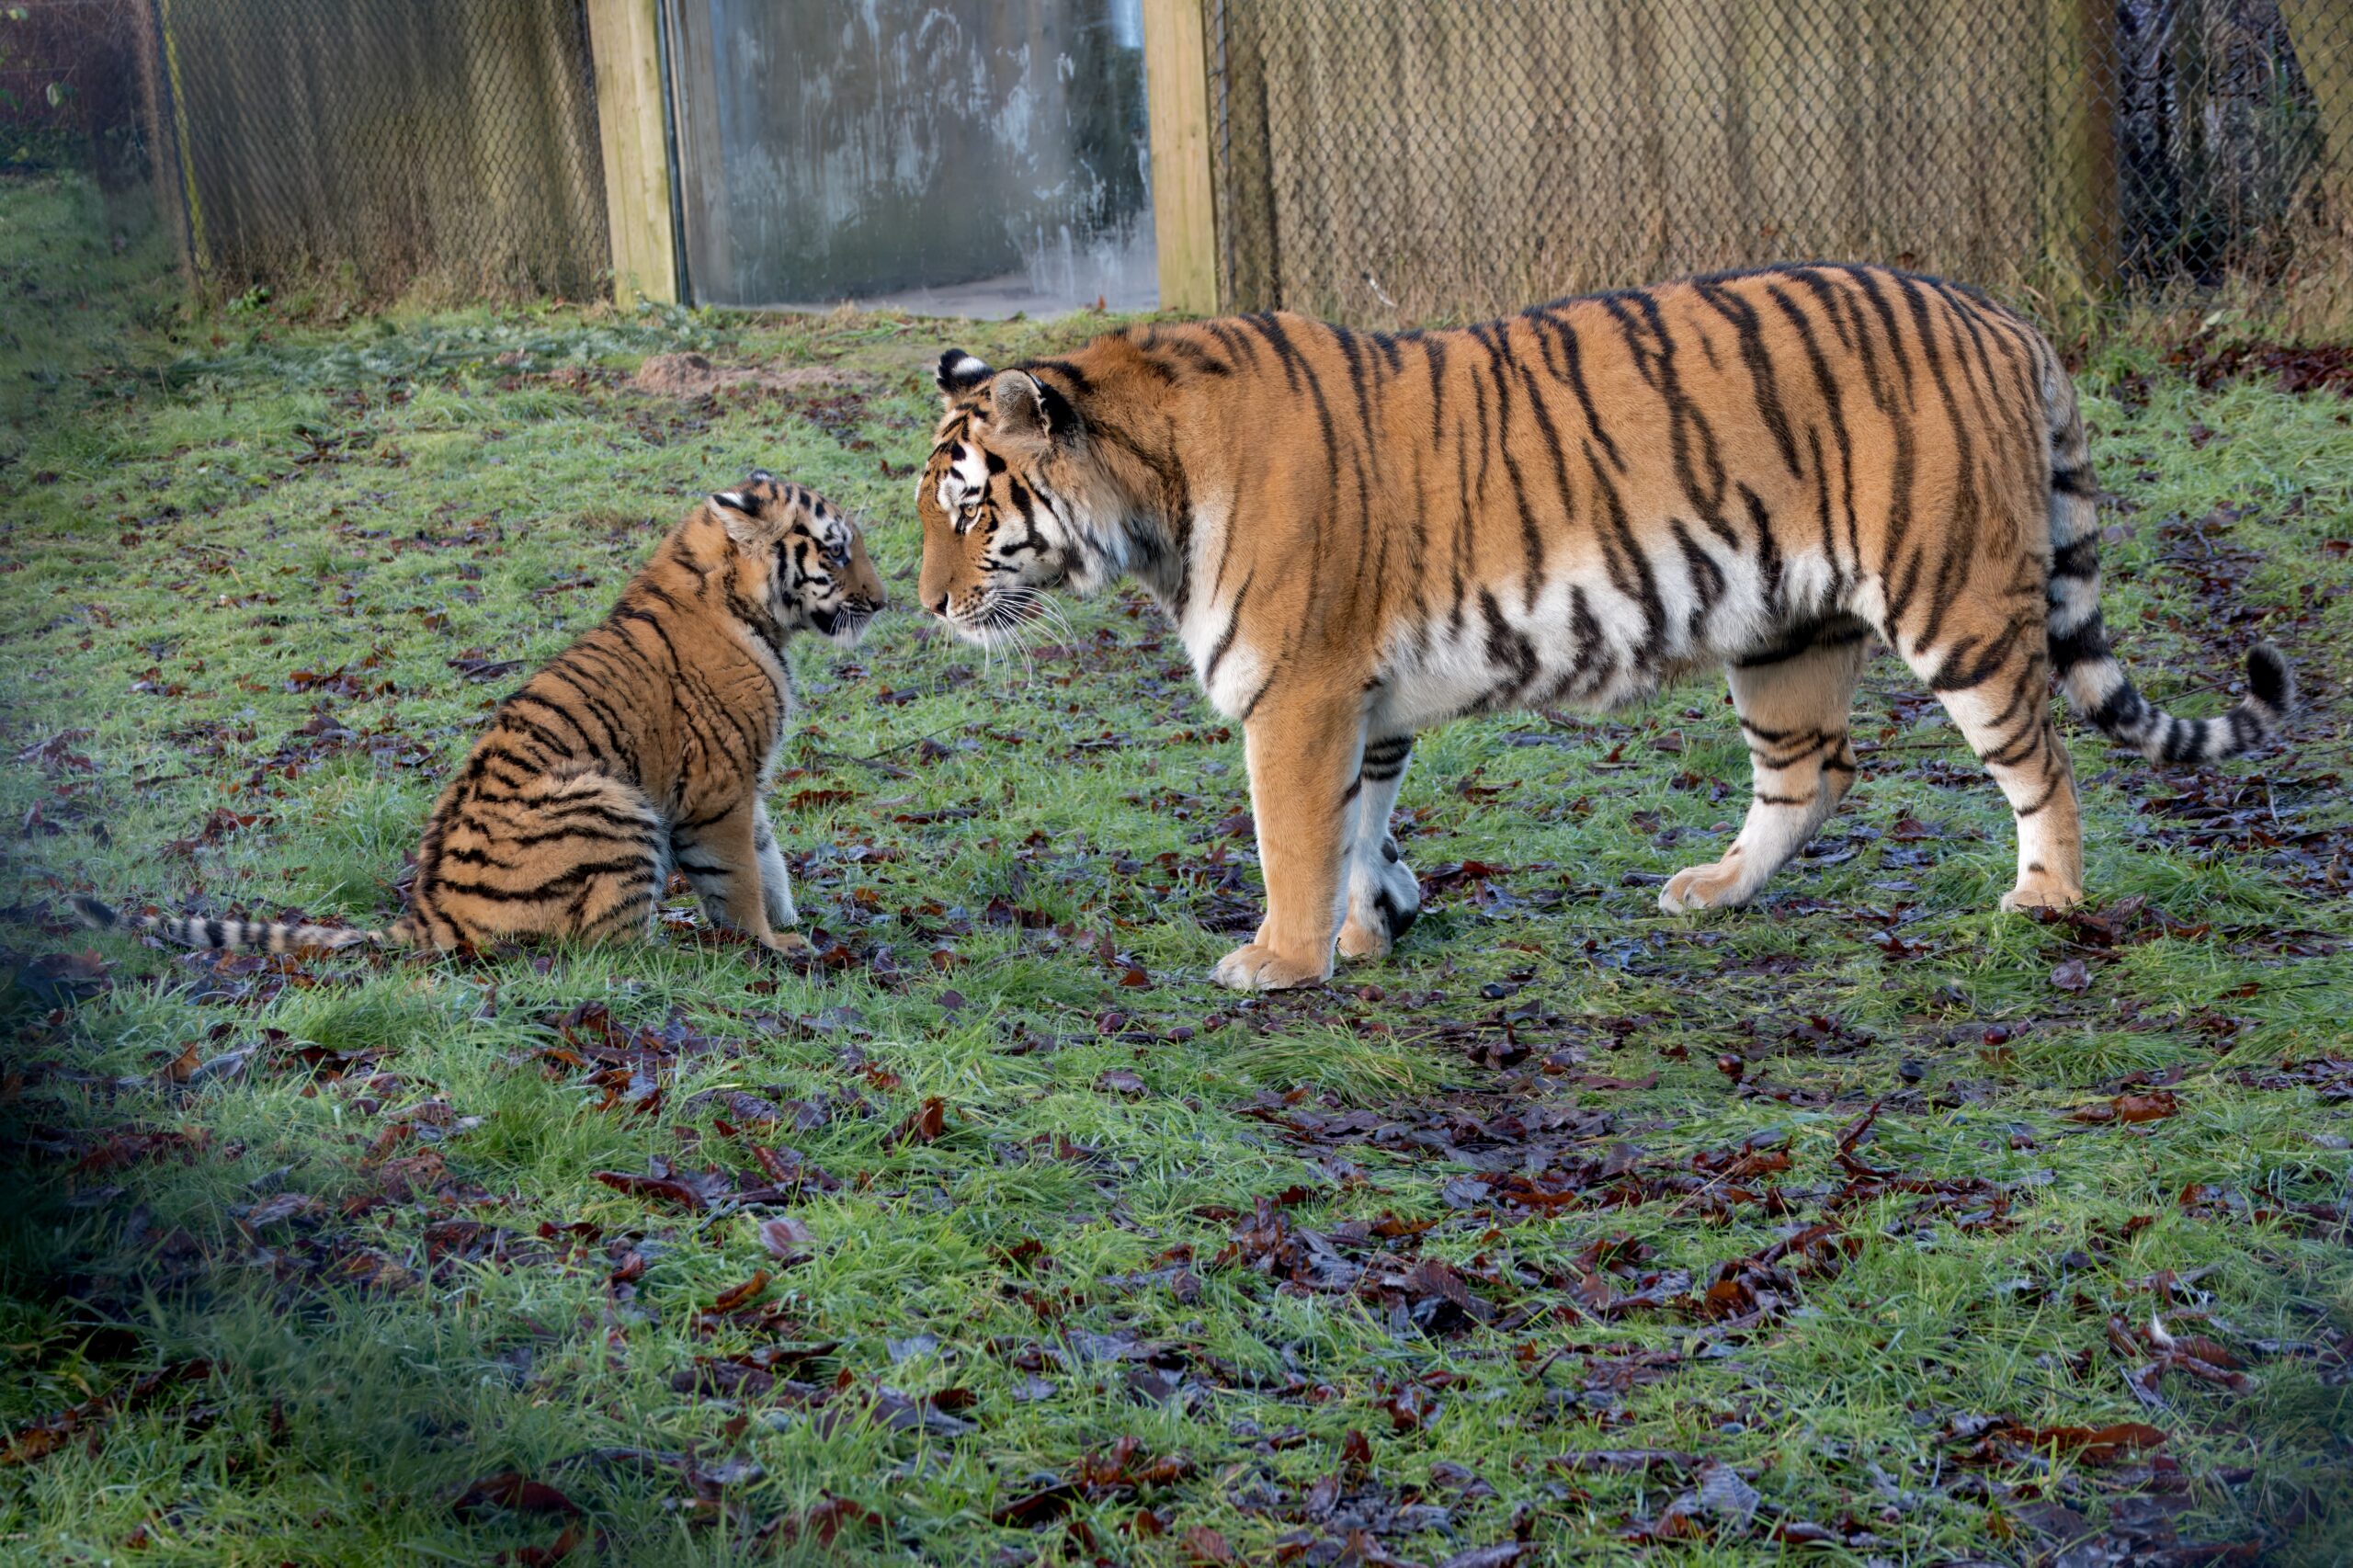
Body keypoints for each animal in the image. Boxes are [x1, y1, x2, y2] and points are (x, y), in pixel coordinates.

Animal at [75, 473, 884, 955]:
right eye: (836, 551)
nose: (883, 603)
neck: (749, 606)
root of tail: (429, 911)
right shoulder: (720, 785)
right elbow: (741, 874)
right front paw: (773, 944)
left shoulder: (747, 782)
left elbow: (769, 857)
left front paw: (791, 923)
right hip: (611, 799)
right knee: (603, 948)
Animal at [914, 263, 2292, 991]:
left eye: (969, 505)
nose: (927, 606)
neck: (1147, 494)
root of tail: (2002, 317)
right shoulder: (1362, 702)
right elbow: (1358, 825)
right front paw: (1374, 923)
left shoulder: (1297, 693)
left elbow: (1292, 838)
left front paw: (1282, 959)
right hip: (1782, 629)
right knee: (1814, 773)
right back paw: (1713, 891)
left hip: (1951, 600)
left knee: (2039, 756)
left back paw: (2043, 900)